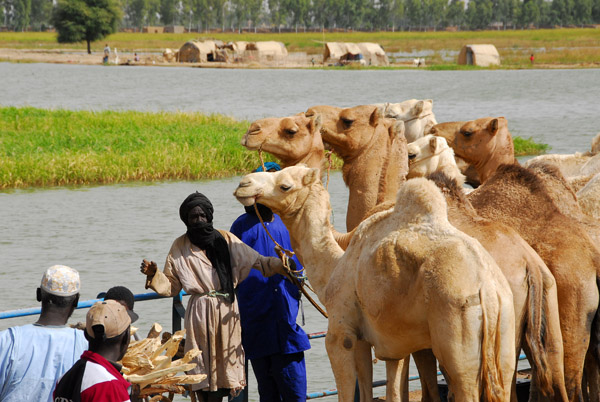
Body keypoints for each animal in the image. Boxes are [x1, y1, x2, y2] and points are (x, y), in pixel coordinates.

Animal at [234, 166, 516, 398]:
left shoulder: (342, 334)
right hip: (505, 334)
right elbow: (389, 389)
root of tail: (488, 290)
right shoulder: (388, 342)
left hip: (457, 325)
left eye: (285, 186)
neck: (335, 266)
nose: (244, 183)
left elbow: (349, 389)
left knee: (463, 381)